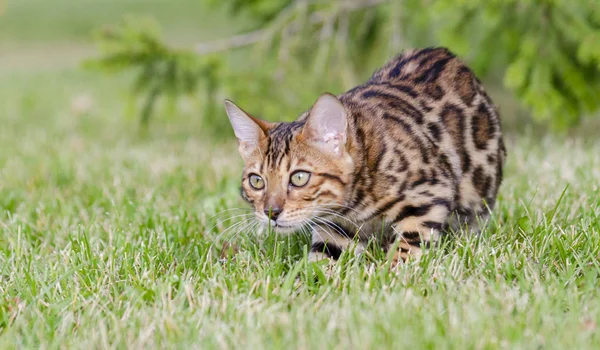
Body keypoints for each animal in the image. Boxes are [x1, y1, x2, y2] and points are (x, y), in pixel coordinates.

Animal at [225, 47, 506, 266]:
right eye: (256, 181)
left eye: (299, 178)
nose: (271, 212)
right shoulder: (335, 228)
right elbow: (320, 264)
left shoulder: (429, 193)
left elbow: (408, 247)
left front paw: (394, 275)